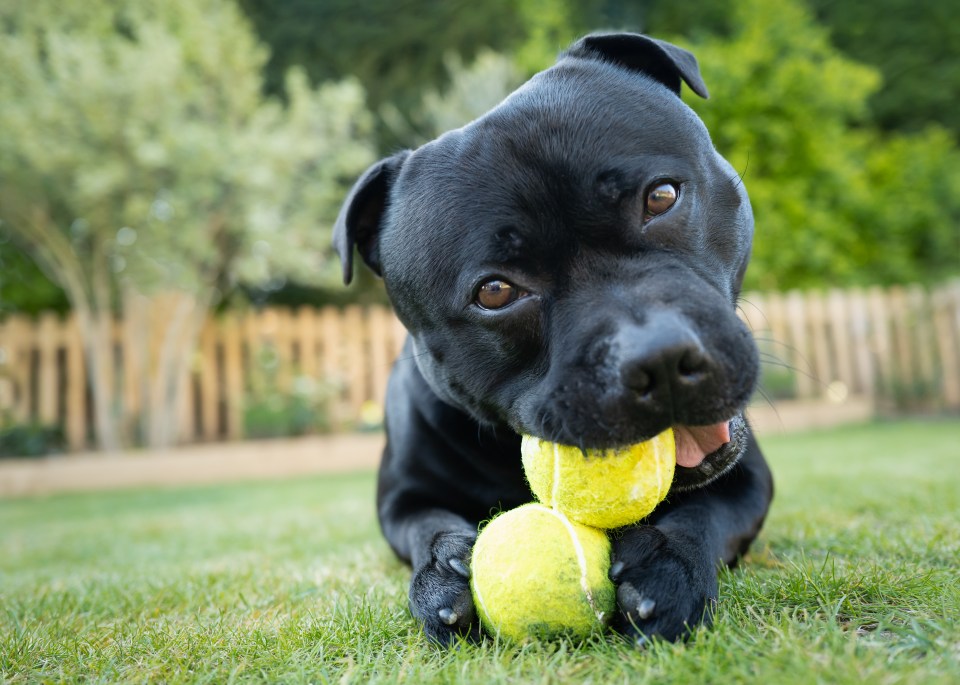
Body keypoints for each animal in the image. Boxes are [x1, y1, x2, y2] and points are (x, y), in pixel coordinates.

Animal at [334, 30, 776, 640]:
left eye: (661, 197)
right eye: (495, 291)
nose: (660, 358)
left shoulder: (748, 477)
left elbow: (705, 511)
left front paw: (670, 562)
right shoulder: (402, 497)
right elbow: (426, 522)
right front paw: (444, 569)